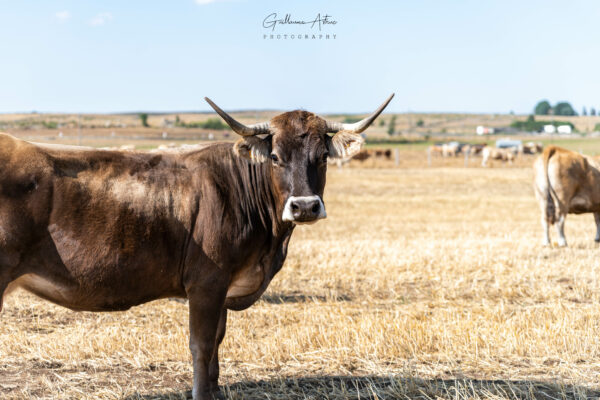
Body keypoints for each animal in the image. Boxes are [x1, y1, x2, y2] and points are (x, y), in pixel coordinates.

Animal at [0, 94, 396, 400]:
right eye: (275, 157)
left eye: (323, 156)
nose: (305, 206)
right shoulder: (206, 283)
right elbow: (202, 344)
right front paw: (203, 393)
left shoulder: (222, 287)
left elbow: (218, 341)